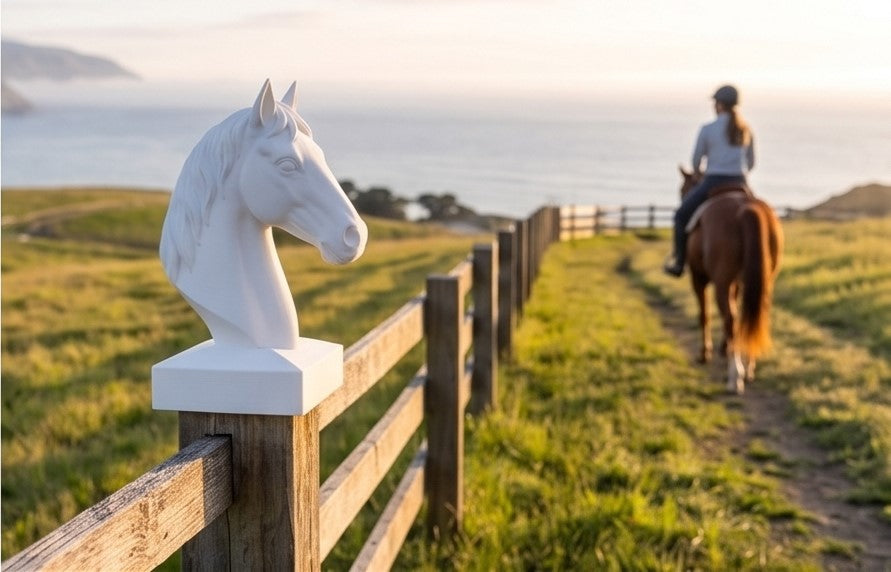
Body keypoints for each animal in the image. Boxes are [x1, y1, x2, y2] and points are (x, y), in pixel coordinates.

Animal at [678, 167, 782, 394]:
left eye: (683, 189)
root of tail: (746, 207)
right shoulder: (737, 284)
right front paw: (723, 347)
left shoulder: (698, 278)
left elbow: (704, 315)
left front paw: (705, 353)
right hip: (764, 281)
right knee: (753, 316)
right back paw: (749, 367)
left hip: (721, 281)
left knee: (731, 318)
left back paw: (735, 376)